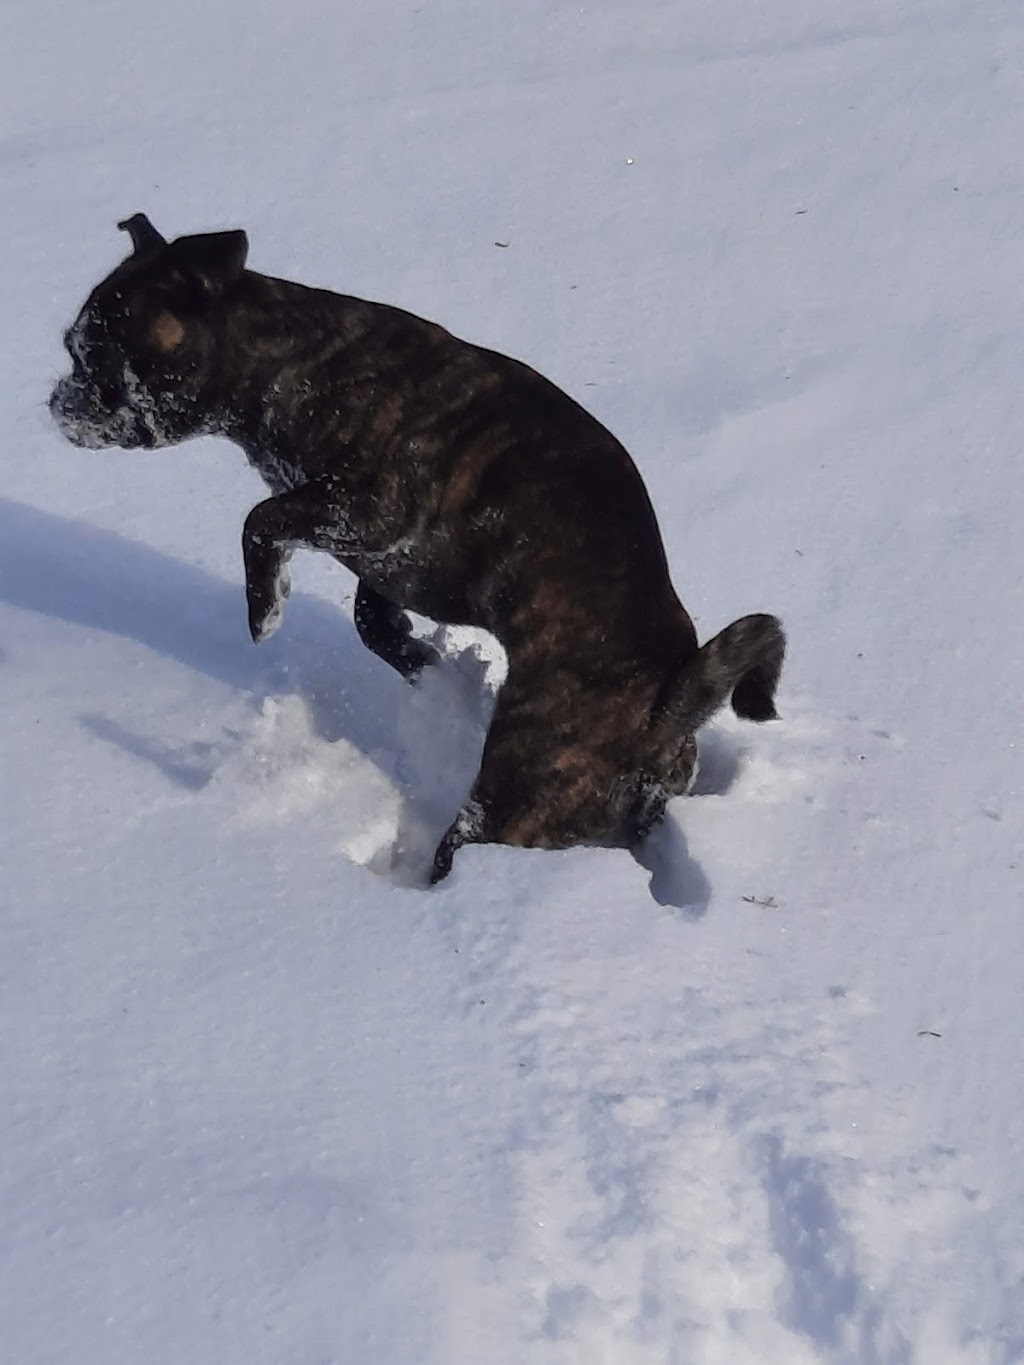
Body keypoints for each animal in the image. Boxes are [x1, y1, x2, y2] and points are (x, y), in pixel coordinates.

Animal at [50, 212, 786, 873]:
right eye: (72, 347)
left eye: (103, 358)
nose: (61, 400)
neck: (287, 361)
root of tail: (664, 706)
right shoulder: (378, 556)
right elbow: (370, 620)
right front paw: (426, 668)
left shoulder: (365, 511)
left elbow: (259, 519)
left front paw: (266, 608)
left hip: (512, 799)